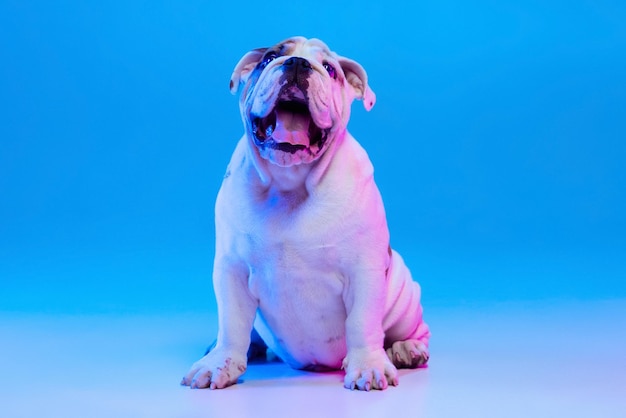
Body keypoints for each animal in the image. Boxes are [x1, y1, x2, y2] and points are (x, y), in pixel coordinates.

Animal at [180, 36, 428, 392]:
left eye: (329, 69)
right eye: (269, 58)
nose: (297, 64)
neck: (290, 184)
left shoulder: (364, 270)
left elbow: (363, 322)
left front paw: (368, 365)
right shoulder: (232, 269)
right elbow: (232, 323)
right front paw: (219, 362)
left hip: (405, 295)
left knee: (410, 329)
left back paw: (406, 348)